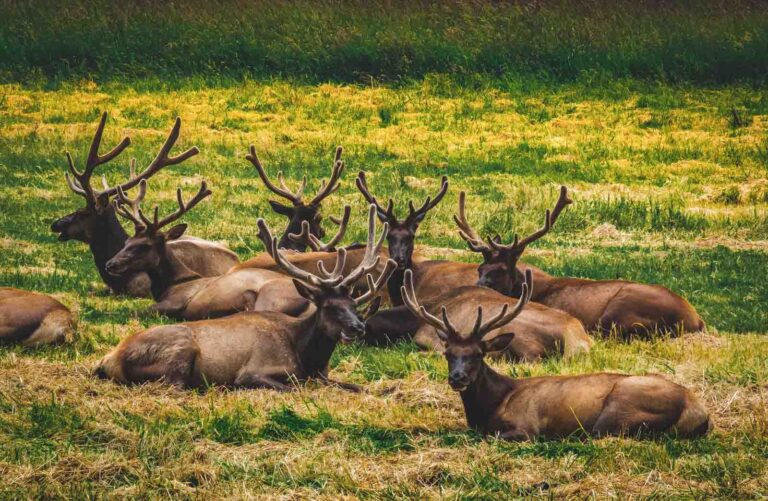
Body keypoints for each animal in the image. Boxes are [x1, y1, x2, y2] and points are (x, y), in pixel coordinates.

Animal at [94, 205, 397, 391]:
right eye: (330, 307)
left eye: (354, 305)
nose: (358, 327)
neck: (307, 357)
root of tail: (108, 360)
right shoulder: (252, 372)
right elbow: (293, 387)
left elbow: (356, 386)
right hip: (181, 352)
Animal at [106, 179, 315, 320]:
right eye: (127, 242)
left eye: (144, 246)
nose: (110, 264)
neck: (169, 284)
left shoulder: (178, 301)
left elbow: (133, 311)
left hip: (268, 299)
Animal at [401, 270, 711, 440]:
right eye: (448, 353)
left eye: (478, 354)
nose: (458, 378)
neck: (491, 406)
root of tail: (698, 411)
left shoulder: (526, 426)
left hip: (618, 412)